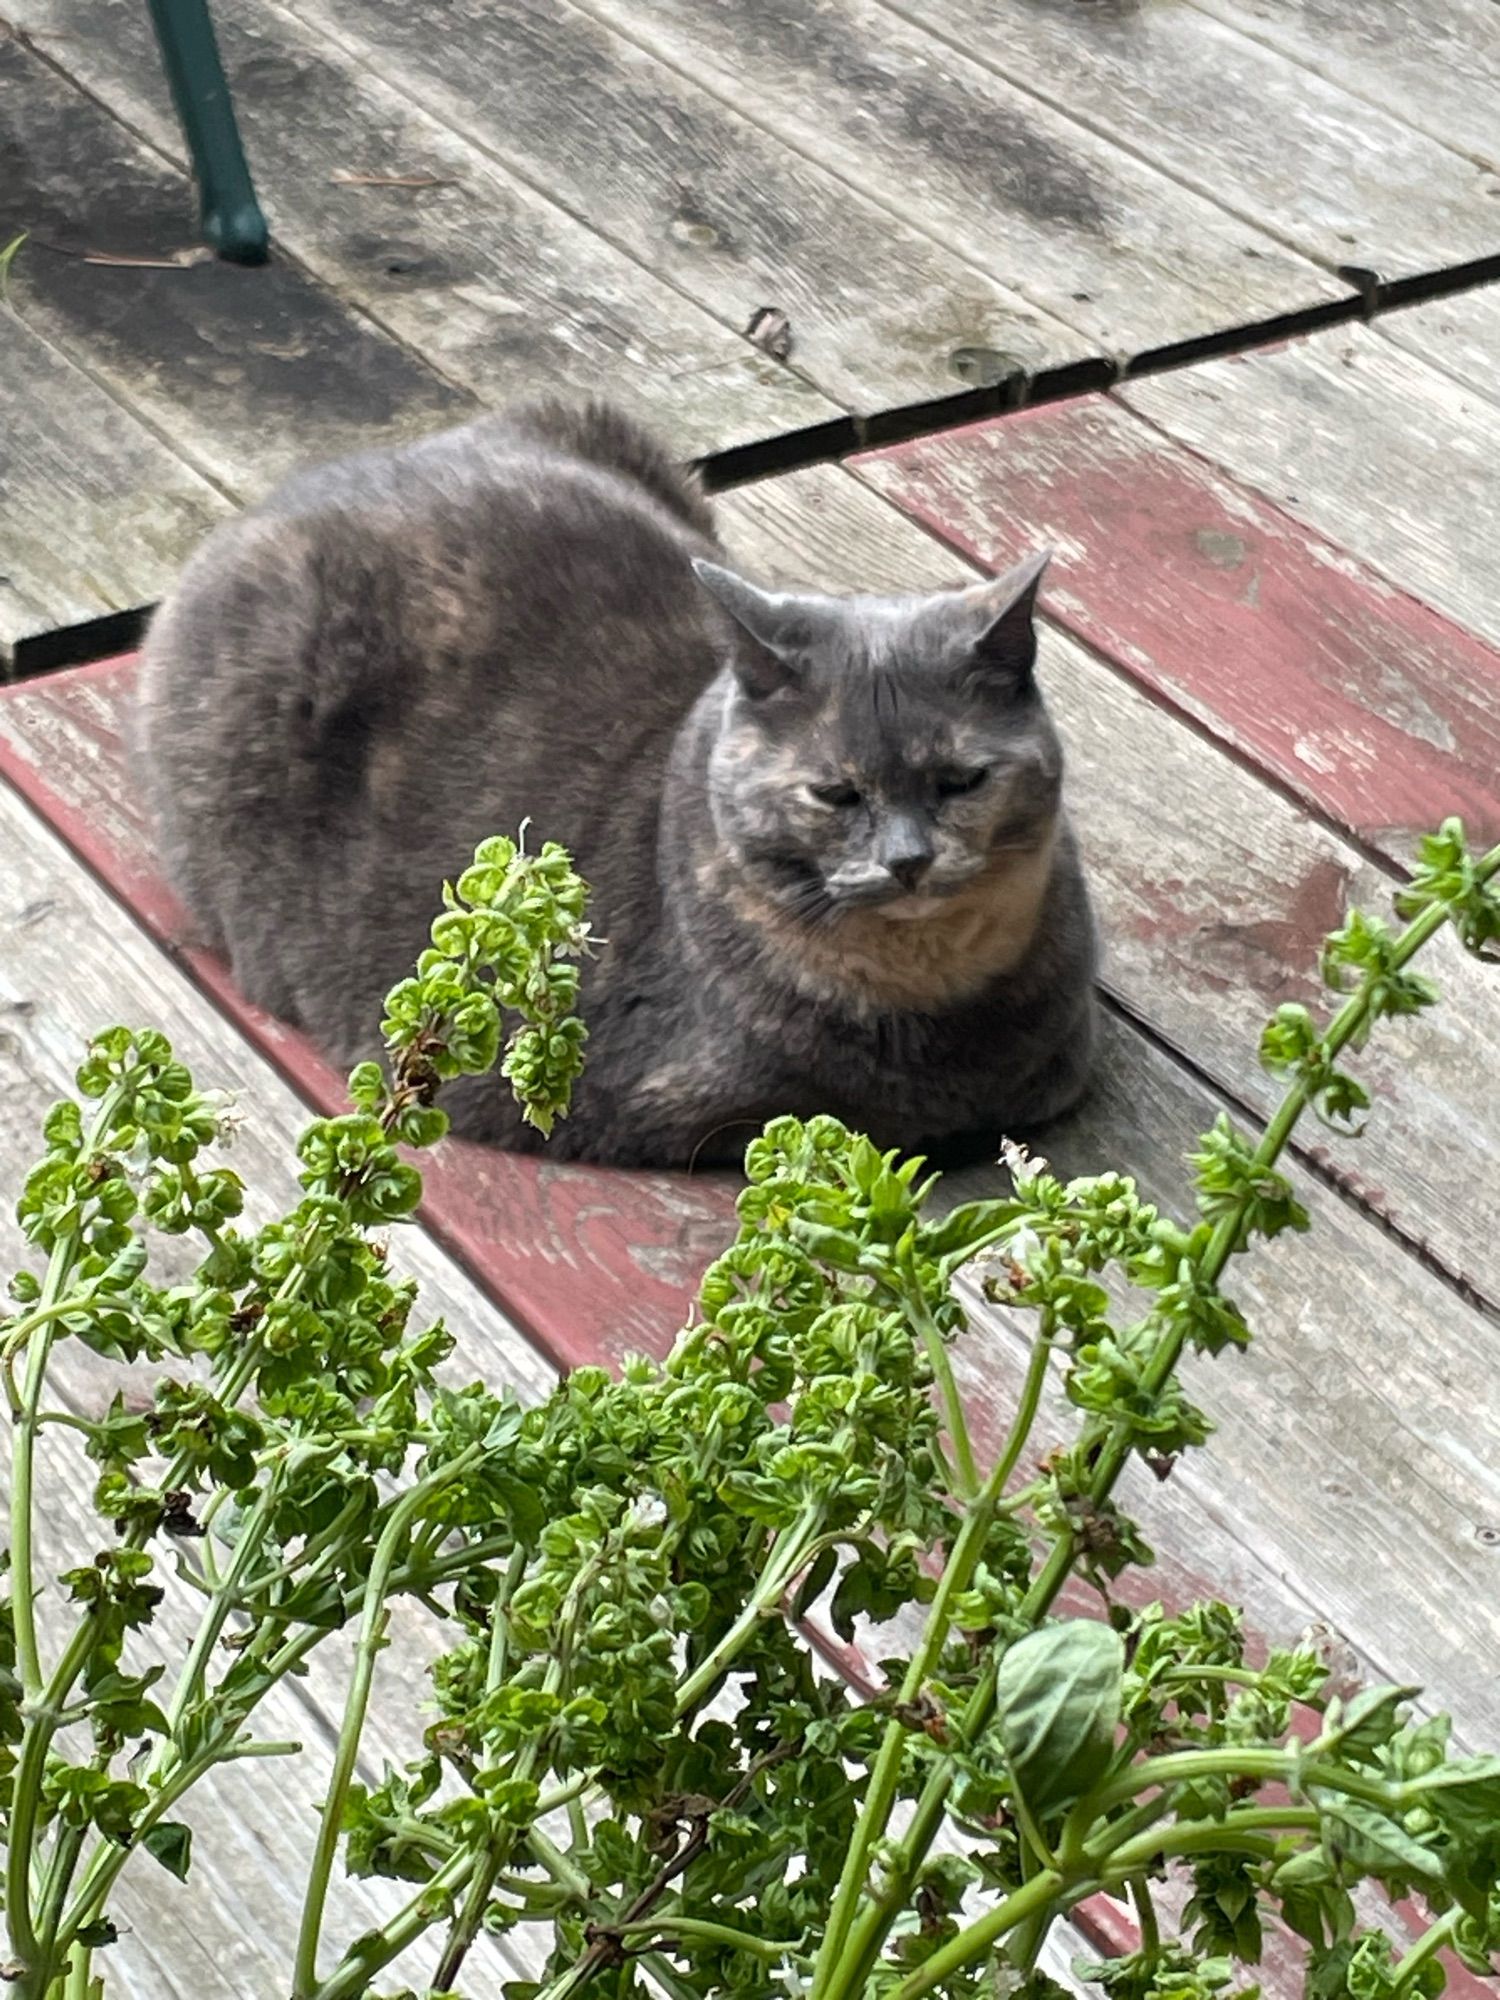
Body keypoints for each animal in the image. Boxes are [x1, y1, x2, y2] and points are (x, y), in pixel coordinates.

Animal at [138, 396, 1104, 1168]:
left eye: (962, 781)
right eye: (834, 794)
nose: (907, 861)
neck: (934, 993)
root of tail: (285, 497)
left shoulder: (1059, 1047)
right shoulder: (686, 1103)